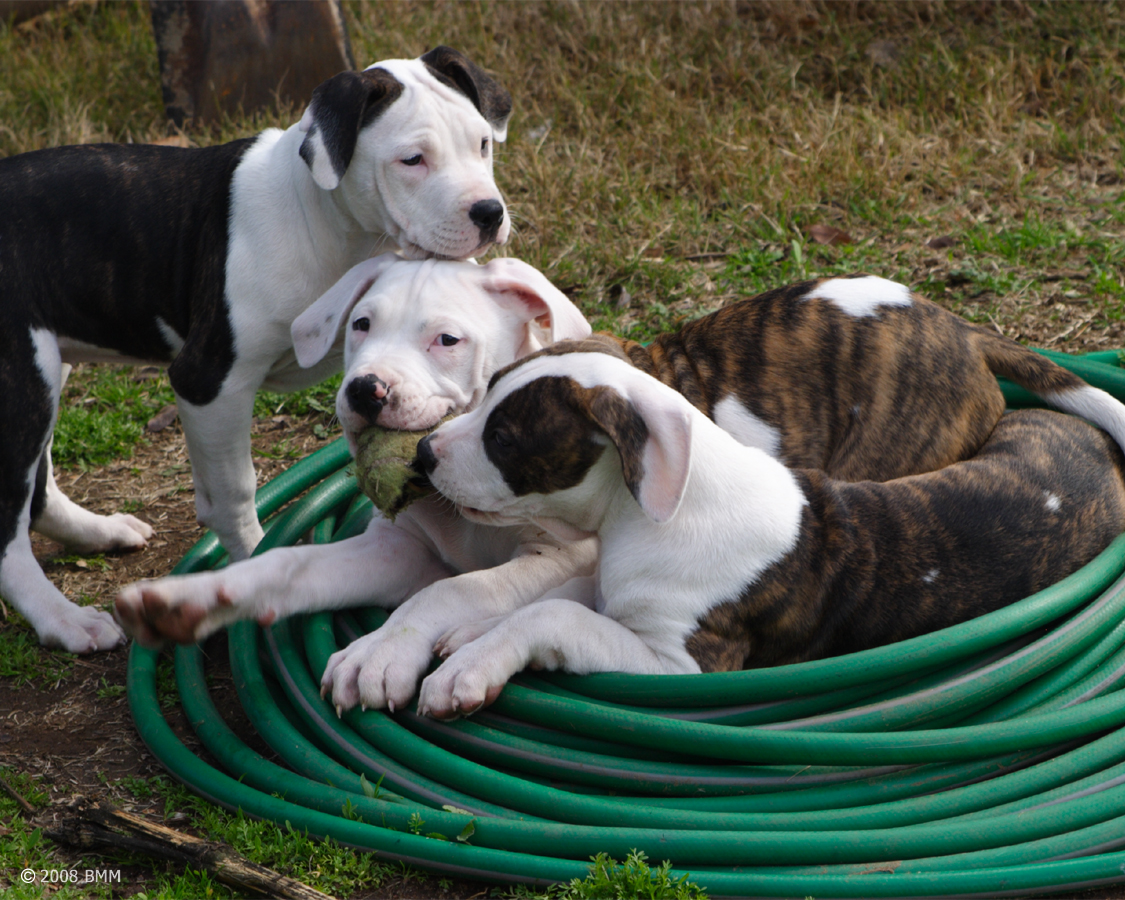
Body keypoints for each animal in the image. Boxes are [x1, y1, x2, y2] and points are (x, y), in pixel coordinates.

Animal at [1, 47, 511, 653]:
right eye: (412, 160)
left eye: (482, 145)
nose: (489, 213)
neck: (331, 226)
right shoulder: (210, 381)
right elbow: (235, 493)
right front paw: (251, 571)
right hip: (20, 378)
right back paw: (63, 619)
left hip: (46, 366)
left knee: (35, 490)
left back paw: (98, 532)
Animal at [114, 254, 597, 716]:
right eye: (361, 325)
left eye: (447, 340)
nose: (365, 389)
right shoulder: (399, 550)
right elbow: (287, 564)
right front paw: (196, 597)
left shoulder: (561, 556)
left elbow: (459, 587)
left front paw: (378, 652)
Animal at [413, 344, 1125, 718]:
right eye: (487, 388)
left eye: (504, 439)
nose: (422, 453)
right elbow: (555, 599)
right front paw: (472, 635)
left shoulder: (682, 665)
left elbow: (555, 616)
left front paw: (468, 671)